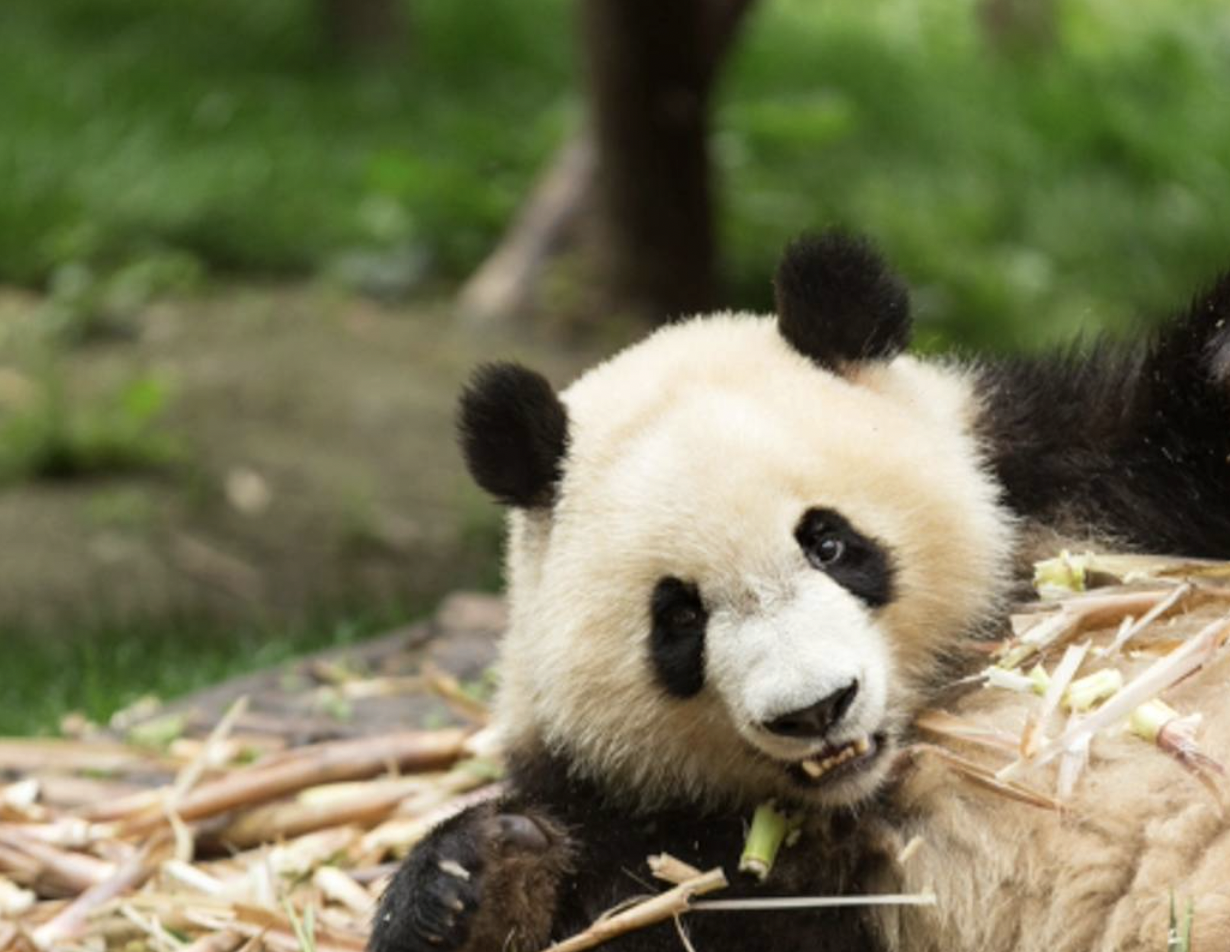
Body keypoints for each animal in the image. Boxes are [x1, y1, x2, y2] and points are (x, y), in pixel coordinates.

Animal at [370, 232, 1230, 952]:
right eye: (679, 616)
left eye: (830, 544)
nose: (815, 710)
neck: (893, 764)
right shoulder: (679, 840)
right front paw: (471, 878)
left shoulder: (1078, 473)